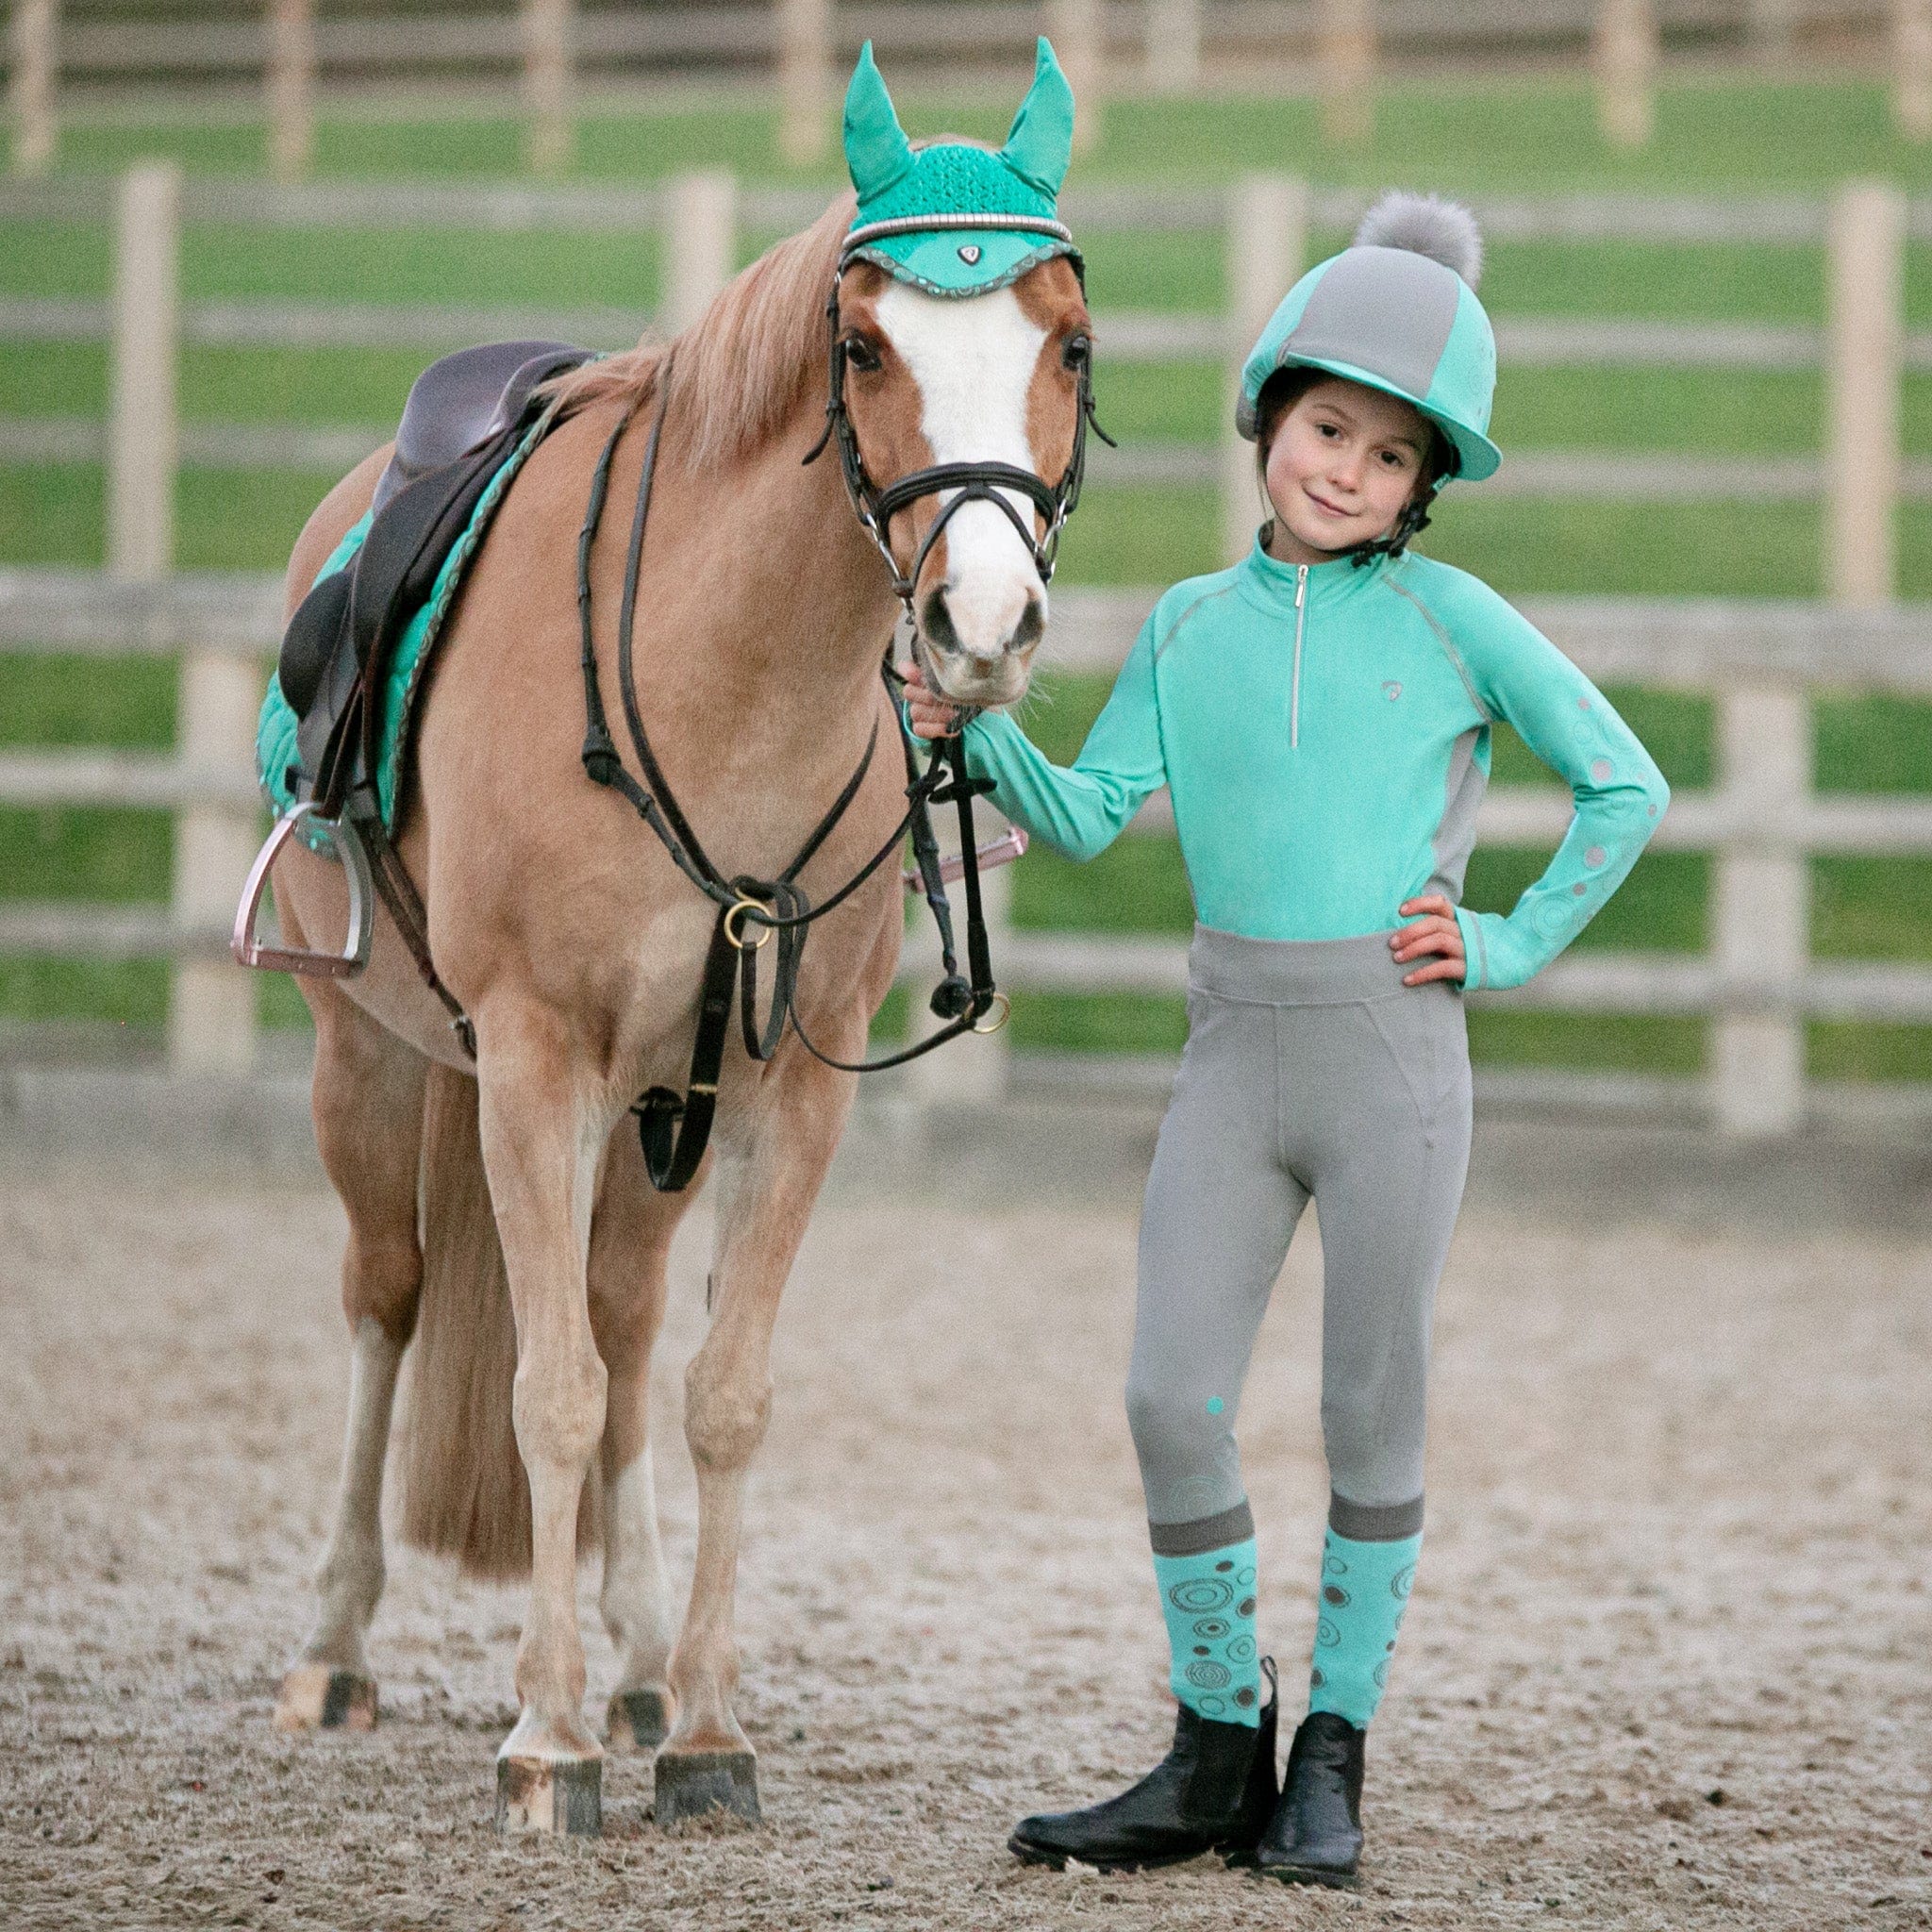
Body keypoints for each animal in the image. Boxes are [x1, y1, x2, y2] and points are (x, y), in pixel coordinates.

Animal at [260, 189, 1095, 1832]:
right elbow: (551, 1398)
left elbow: (718, 1397)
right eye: (862, 347)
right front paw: (546, 1744)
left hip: (663, 1112)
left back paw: (640, 1664)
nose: (983, 624)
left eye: (1071, 344)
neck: (726, 686)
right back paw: (332, 1648)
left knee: (628, 1324)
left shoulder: (789, 1096)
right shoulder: (534, 1069)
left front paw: (704, 1726)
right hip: (364, 1067)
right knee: (389, 1305)